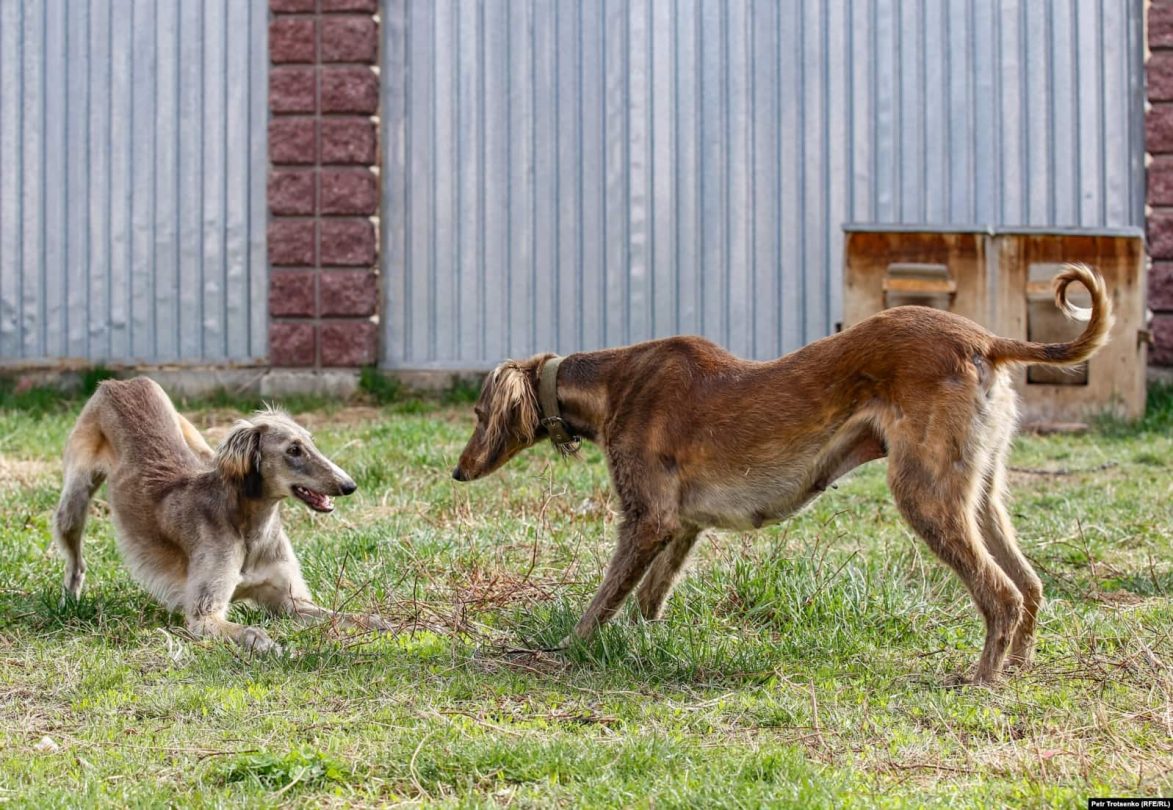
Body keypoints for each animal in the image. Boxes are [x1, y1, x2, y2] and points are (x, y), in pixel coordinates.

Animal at [51, 379, 389, 651]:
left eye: (311, 443)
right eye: (293, 450)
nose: (349, 485)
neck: (251, 528)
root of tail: (121, 382)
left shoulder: (291, 603)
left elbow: (350, 616)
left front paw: (386, 624)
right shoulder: (204, 615)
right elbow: (252, 632)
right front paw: (273, 646)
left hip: (199, 445)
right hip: (74, 502)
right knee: (76, 563)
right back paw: (69, 602)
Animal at [452, 266, 1112, 684]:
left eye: (479, 415)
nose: (457, 472)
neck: (615, 382)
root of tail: (984, 338)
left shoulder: (647, 519)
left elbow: (604, 600)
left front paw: (567, 648)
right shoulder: (681, 526)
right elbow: (647, 597)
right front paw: (644, 643)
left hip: (924, 494)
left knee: (1000, 593)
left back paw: (982, 679)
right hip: (977, 493)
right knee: (1030, 585)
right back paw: (1018, 667)